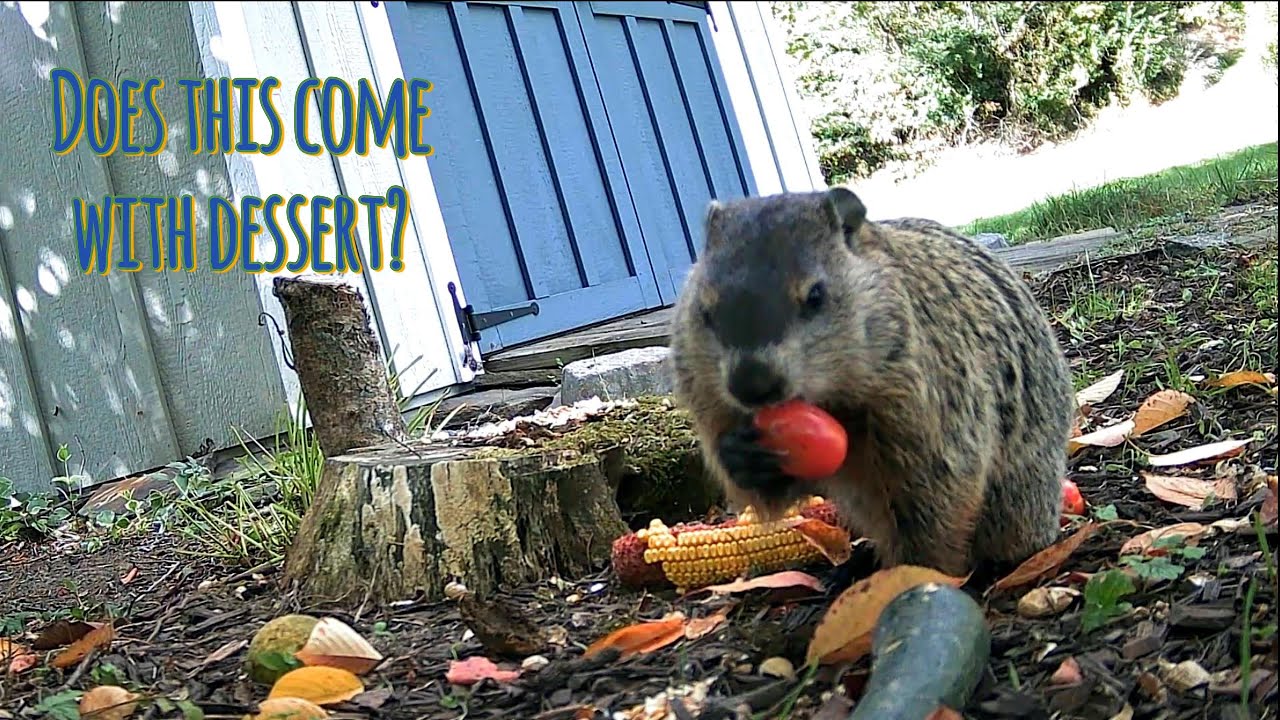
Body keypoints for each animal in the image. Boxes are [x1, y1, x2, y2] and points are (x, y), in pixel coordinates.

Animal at [668, 187, 1075, 578]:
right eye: (705, 309)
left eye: (815, 295)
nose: (751, 384)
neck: (834, 402)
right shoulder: (707, 395)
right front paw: (741, 454)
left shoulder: (921, 393)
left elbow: (936, 487)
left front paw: (913, 571)